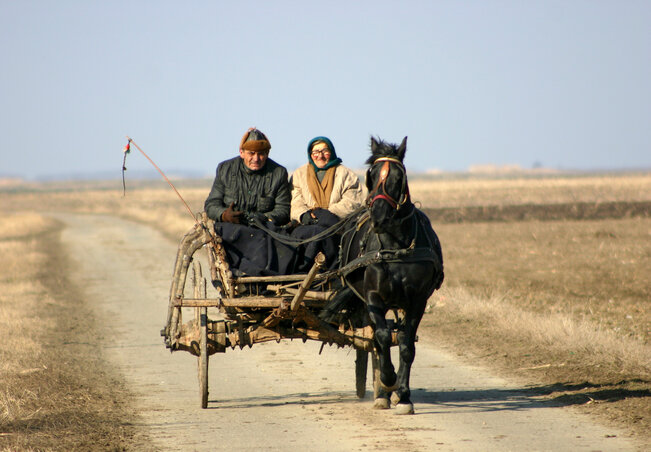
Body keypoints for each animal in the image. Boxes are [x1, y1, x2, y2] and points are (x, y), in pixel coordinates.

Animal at [324, 136, 446, 414]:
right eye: (371, 174)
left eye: (399, 177)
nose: (378, 216)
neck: (394, 248)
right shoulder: (372, 297)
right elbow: (380, 337)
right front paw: (388, 381)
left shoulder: (417, 302)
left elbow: (406, 344)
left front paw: (403, 394)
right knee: (376, 338)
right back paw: (382, 392)